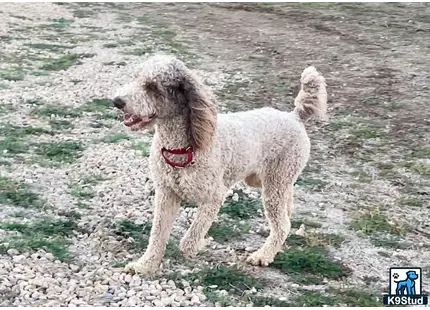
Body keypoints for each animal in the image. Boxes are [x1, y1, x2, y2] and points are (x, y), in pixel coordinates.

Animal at [112, 54, 328, 274]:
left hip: (274, 184)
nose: (117, 101)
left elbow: (194, 231)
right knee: (288, 202)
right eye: (135, 78)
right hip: (265, 179)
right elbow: (157, 234)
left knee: (282, 224)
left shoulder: (214, 196)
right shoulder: (166, 194)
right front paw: (145, 265)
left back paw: (263, 255)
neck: (181, 146)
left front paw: (192, 247)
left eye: (151, 86)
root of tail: (294, 116)